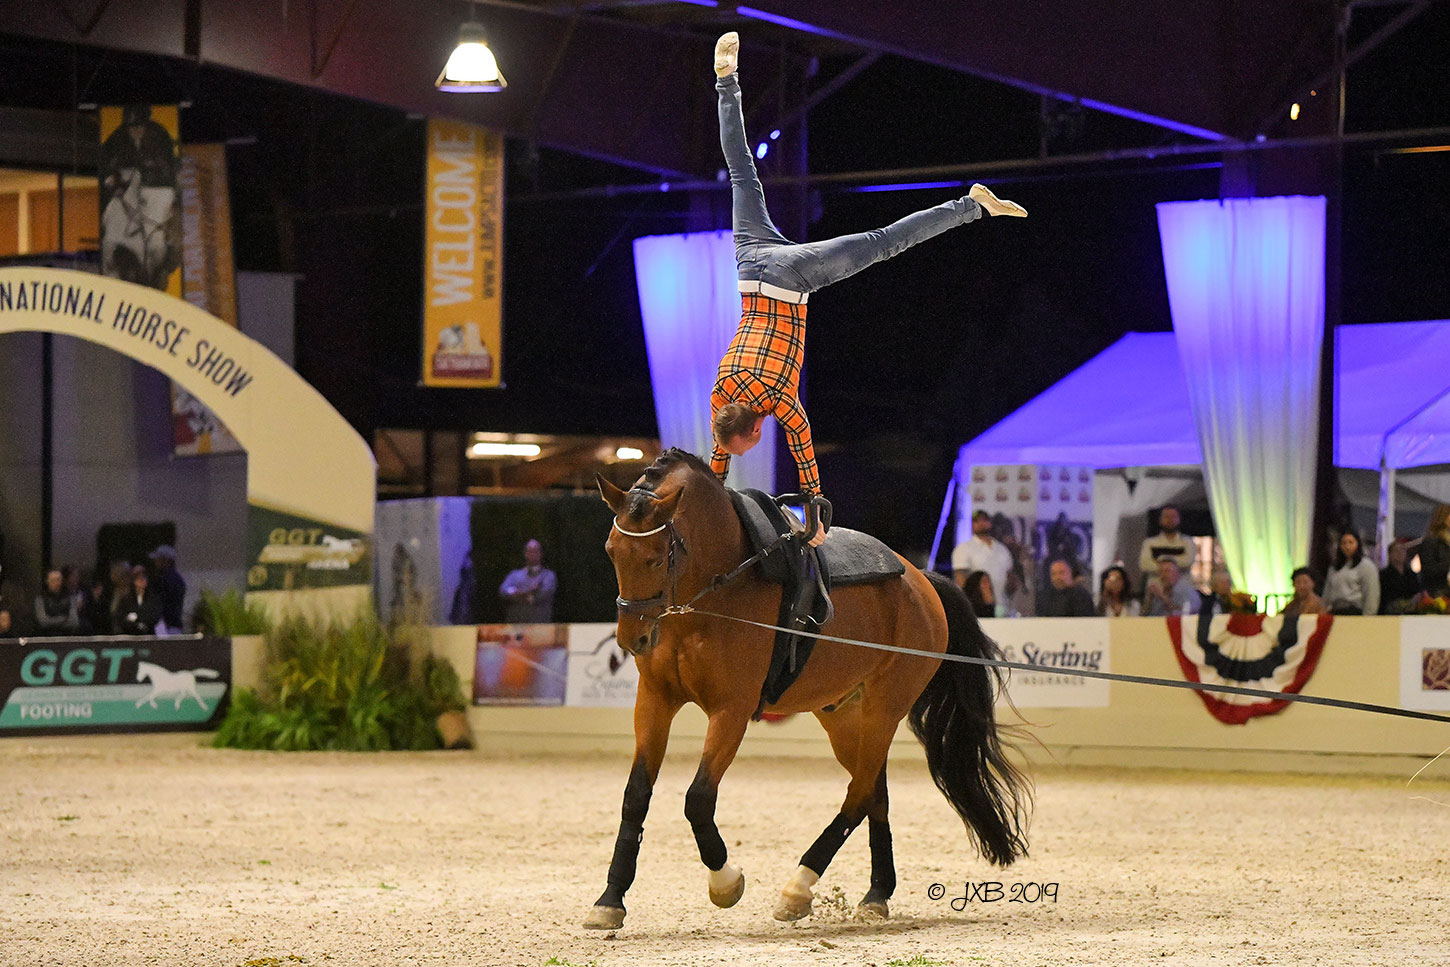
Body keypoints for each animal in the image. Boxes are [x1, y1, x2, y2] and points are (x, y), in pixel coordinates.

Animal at [587, 449, 1031, 929]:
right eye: (611, 552)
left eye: (655, 557)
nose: (632, 638)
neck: (711, 596)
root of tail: (923, 581)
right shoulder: (655, 699)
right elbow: (636, 796)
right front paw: (610, 899)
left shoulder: (732, 710)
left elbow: (698, 799)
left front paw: (725, 882)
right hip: (841, 714)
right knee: (873, 792)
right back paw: (877, 893)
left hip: (884, 707)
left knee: (858, 794)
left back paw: (798, 887)